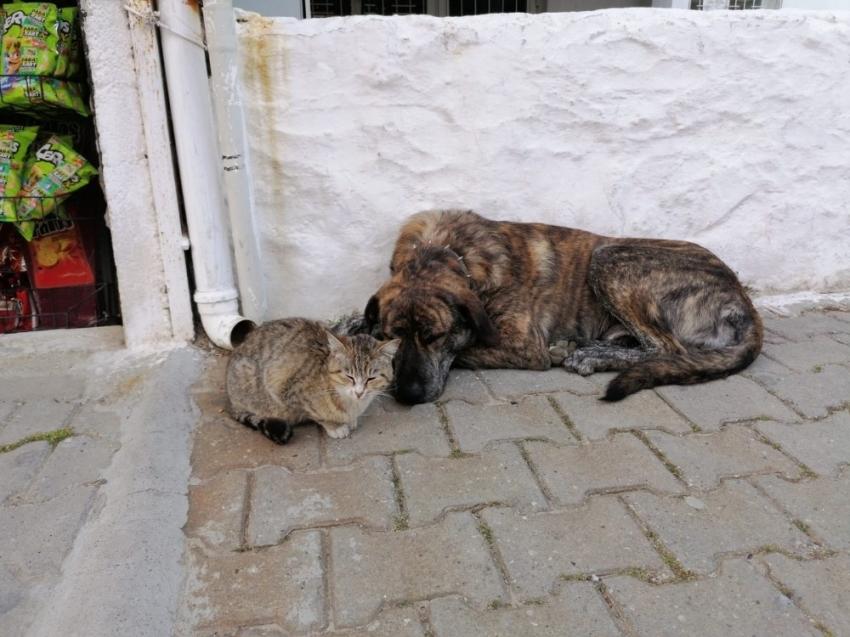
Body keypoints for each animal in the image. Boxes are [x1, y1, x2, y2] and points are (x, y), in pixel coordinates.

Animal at [225, 316, 398, 442]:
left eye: (371, 378)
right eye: (349, 376)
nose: (359, 393)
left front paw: (350, 419)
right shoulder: (283, 388)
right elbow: (316, 414)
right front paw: (335, 425)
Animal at [358, 211, 760, 404]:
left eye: (436, 336)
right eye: (391, 337)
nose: (408, 395)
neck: (448, 251)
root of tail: (741, 297)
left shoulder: (522, 344)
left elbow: (468, 349)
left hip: (610, 257)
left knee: (667, 348)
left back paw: (588, 355)